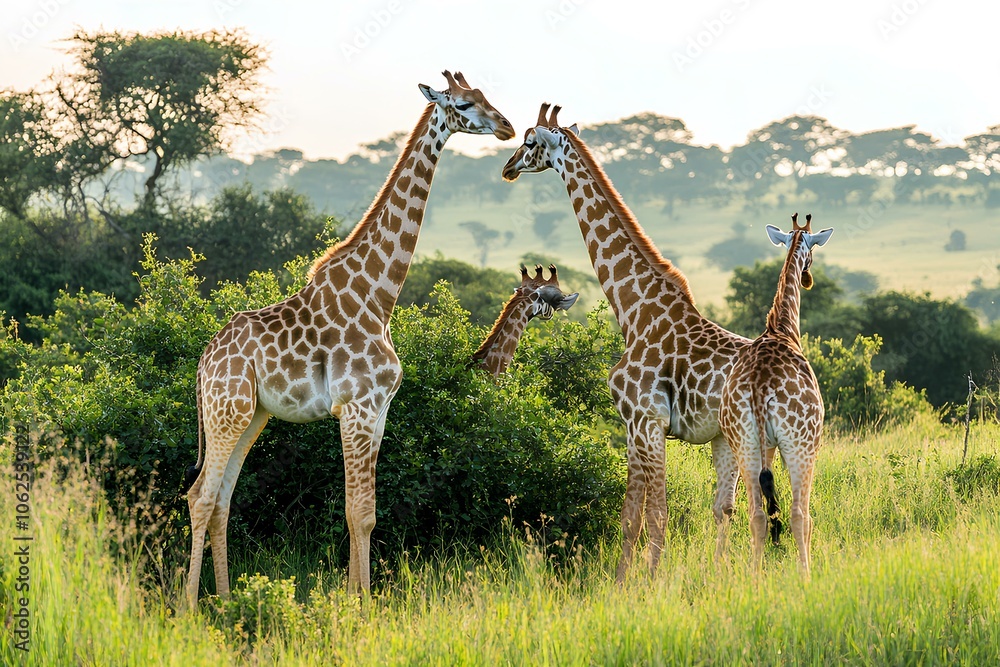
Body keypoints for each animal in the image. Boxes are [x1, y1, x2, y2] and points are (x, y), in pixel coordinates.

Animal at [184, 71, 513, 605]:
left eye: (486, 96)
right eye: (464, 104)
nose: (507, 127)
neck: (379, 294)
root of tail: (203, 362)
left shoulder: (378, 411)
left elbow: (368, 513)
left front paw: (362, 599)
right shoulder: (355, 407)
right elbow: (356, 512)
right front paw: (359, 605)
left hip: (251, 415)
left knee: (222, 501)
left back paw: (229, 602)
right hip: (226, 411)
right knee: (200, 496)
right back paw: (189, 608)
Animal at [502, 104, 751, 582]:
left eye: (529, 142)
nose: (507, 168)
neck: (633, 310)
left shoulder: (646, 421)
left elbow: (655, 513)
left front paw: (650, 585)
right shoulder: (633, 426)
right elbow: (630, 514)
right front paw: (622, 585)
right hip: (727, 438)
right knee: (730, 507)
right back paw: (724, 574)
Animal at [718, 213, 833, 575]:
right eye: (813, 248)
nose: (808, 277)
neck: (782, 329)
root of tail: (760, 387)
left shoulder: (765, 445)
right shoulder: (808, 443)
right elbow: (801, 516)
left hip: (744, 443)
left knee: (755, 515)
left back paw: (754, 579)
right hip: (800, 442)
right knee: (800, 514)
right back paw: (806, 576)